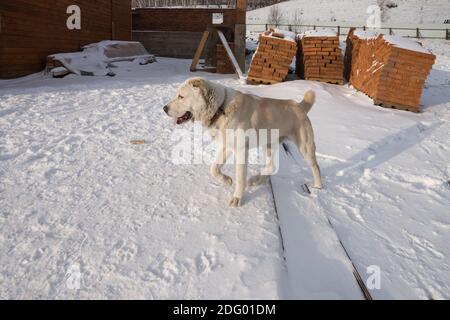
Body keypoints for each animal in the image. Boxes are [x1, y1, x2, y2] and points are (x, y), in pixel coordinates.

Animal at [163, 78, 322, 208]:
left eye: (181, 96)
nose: (164, 108)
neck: (220, 108)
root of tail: (299, 105)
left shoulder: (240, 150)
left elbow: (240, 178)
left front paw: (237, 199)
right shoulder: (226, 146)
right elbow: (213, 168)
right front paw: (226, 180)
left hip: (305, 147)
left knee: (315, 167)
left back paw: (317, 187)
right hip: (269, 145)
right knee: (271, 166)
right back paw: (256, 180)